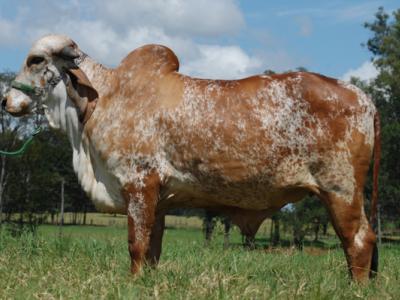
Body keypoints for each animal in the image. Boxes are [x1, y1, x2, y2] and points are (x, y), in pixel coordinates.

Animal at [3, 34, 382, 282]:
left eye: (36, 60)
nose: (6, 101)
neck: (102, 99)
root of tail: (361, 95)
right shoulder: (158, 197)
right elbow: (151, 248)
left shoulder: (139, 184)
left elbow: (135, 244)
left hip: (341, 189)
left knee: (359, 240)